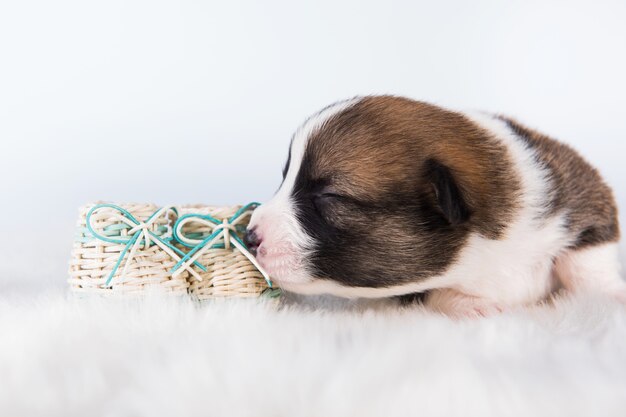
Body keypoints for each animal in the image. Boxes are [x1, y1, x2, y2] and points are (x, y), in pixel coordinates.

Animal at [245, 95, 624, 316]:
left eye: (328, 197)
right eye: (285, 179)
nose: (249, 237)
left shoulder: (585, 193)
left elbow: (584, 262)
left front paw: (613, 293)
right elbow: (435, 293)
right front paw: (474, 306)